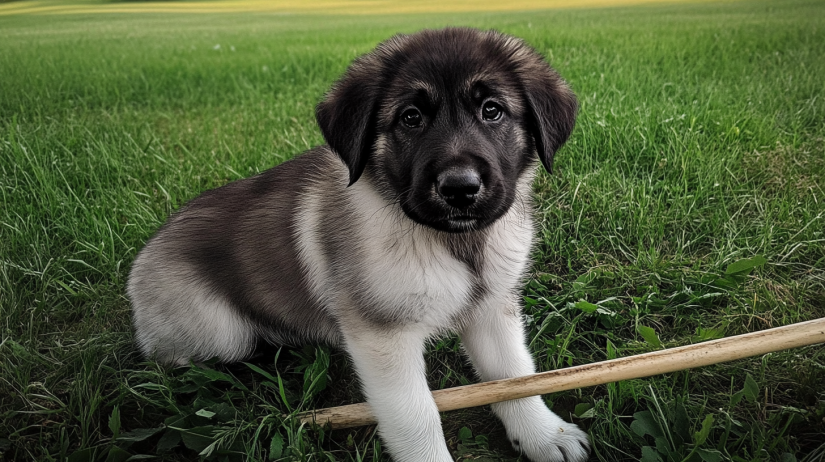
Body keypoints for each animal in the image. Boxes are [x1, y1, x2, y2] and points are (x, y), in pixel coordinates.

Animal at [129, 27, 588, 460]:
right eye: (410, 117)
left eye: (492, 110)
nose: (460, 188)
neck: (455, 242)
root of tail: (146, 253)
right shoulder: (383, 336)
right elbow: (416, 416)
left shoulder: (492, 308)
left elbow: (516, 376)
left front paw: (544, 436)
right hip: (219, 333)